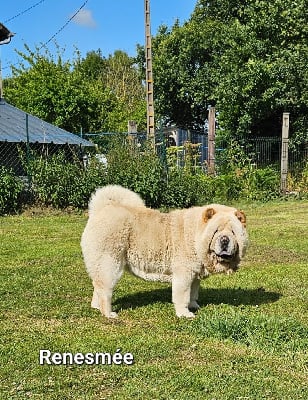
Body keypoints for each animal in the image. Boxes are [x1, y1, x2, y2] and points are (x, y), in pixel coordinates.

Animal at [80, 184, 249, 318]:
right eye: (216, 231)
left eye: (233, 232)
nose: (225, 240)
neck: (194, 235)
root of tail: (100, 211)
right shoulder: (184, 273)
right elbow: (182, 295)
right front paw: (185, 314)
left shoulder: (195, 274)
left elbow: (193, 293)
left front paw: (194, 306)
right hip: (110, 262)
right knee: (105, 289)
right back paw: (108, 313)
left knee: (97, 286)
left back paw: (96, 307)